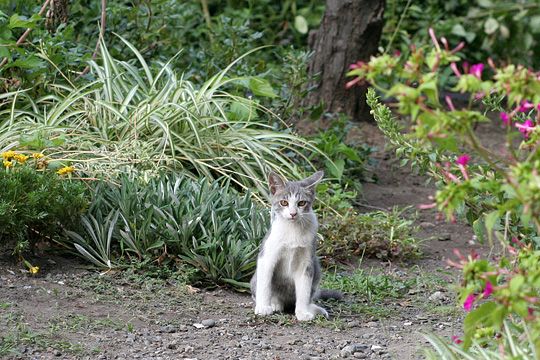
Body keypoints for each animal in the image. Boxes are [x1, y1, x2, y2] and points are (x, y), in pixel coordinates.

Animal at [250, 170, 338, 322]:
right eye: (284, 202)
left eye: (301, 203)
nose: (293, 213)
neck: (293, 230)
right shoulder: (267, 256)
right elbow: (265, 284)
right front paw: (263, 307)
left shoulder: (306, 261)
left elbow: (304, 290)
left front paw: (303, 312)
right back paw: (275, 304)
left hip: (316, 266)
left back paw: (315, 308)